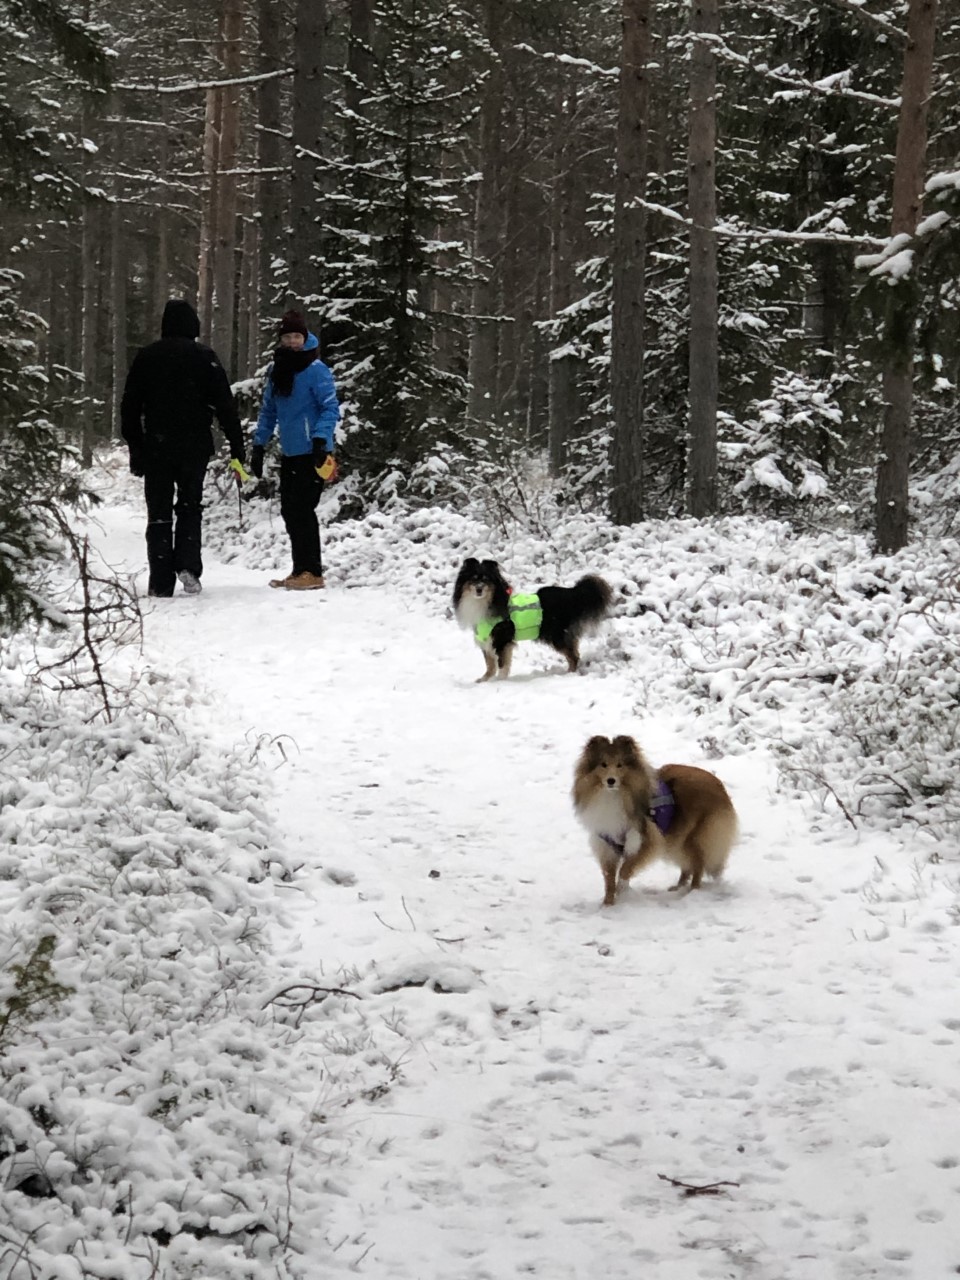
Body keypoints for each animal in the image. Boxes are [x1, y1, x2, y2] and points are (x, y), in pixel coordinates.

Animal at [455, 558, 611, 680]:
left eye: (486, 579)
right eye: (473, 579)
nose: (479, 589)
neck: (485, 602)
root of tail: (572, 593)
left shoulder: (502, 640)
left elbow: (502, 664)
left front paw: (499, 681)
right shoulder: (486, 639)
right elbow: (489, 664)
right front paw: (485, 680)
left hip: (557, 636)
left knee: (574, 656)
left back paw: (568, 674)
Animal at [576, 737, 742, 906]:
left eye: (619, 765)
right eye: (603, 764)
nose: (611, 780)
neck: (614, 795)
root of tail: (719, 784)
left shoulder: (646, 840)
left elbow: (625, 869)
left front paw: (622, 891)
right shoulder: (607, 844)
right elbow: (608, 877)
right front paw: (608, 904)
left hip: (696, 836)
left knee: (698, 864)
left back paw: (692, 890)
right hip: (677, 838)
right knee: (687, 865)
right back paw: (677, 887)